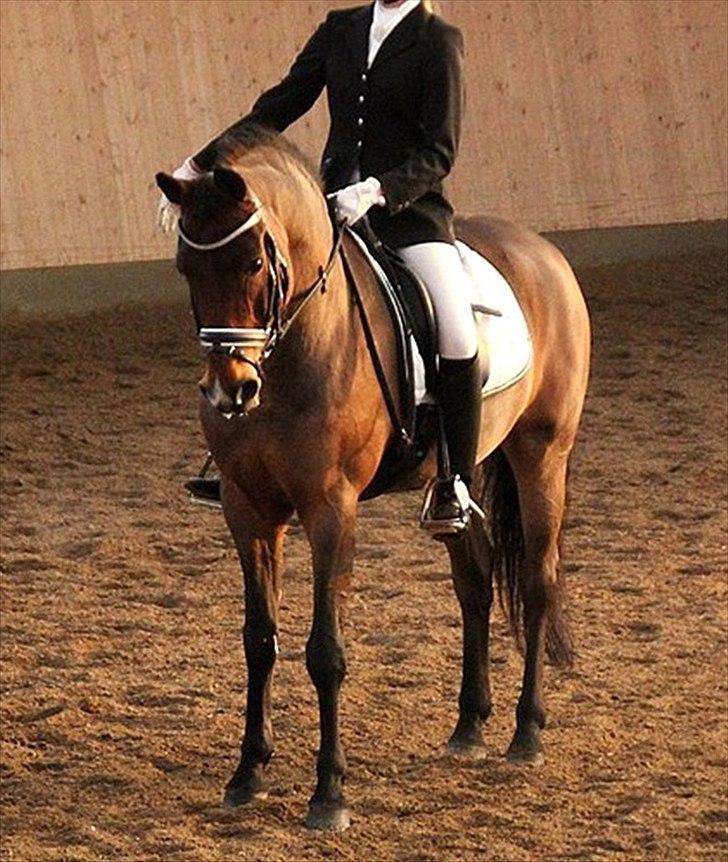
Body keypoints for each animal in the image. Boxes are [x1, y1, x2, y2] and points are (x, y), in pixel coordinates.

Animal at [155, 125, 591, 831]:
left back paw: (526, 734)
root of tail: (541, 249)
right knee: (475, 578)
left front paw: (329, 792)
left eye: (252, 264)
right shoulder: (249, 509)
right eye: (186, 270)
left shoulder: (331, 508)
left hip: (542, 453)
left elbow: (325, 652)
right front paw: (248, 773)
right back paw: (469, 727)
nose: (230, 390)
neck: (296, 349)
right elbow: (258, 640)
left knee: (536, 580)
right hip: (457, 473)